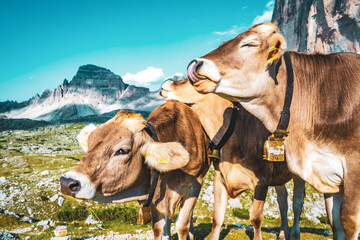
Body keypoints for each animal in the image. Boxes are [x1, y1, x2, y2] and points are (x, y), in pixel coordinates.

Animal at [60, 100, 210, 239]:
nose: (66, 182)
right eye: (90, 145)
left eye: (122, 150)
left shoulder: (195, 184)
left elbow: (182, 226)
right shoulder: (155, 190)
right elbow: (158, 227)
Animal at [162, 79, 306, 240]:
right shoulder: (220, 179)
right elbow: (217, 218)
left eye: (188, 79)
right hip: (278, 175)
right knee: (283, 199)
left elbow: (256, 218)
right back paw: (282, 232)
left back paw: (294, 234)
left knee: (297, 203)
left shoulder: (261, 183)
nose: (166, 82)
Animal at [186, 22, 360, 238]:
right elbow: (334, 221)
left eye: (249, 44)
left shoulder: (353, 168)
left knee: (296, 202)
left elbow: (347, 221)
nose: (195, 64)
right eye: (223, 43)